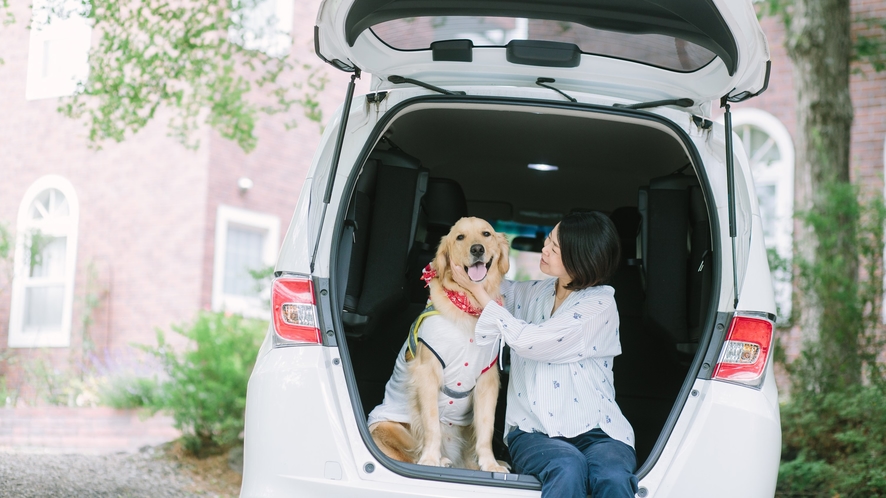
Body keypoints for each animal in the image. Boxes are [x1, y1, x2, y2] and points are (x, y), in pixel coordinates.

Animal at [364, 217, 510, 470]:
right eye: (460, 237)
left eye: (486, 234)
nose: (477, 249)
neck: (468, 306)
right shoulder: (427, 372)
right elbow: (431, 423)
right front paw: (431, 458)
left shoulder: (487, 379)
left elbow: (486, 427)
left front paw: (490, 464)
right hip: (386, 427)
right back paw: (439, 460)